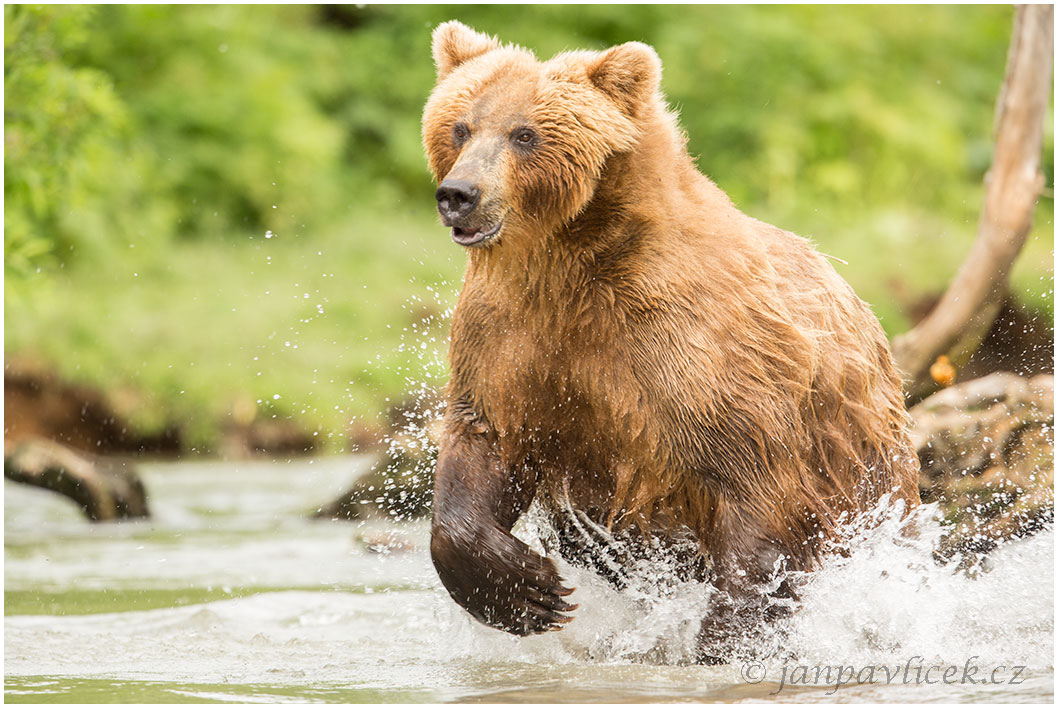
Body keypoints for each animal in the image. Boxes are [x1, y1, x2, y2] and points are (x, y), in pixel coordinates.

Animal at [421, 22, 918, 664]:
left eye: (525, 134)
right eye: (461, 125)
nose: (459, 193)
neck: (570, 261)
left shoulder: (697, 349)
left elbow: (756, 488)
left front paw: (728, 642)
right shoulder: (511, 336)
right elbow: (484, 440)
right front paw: (531, 591)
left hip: (867, 464)